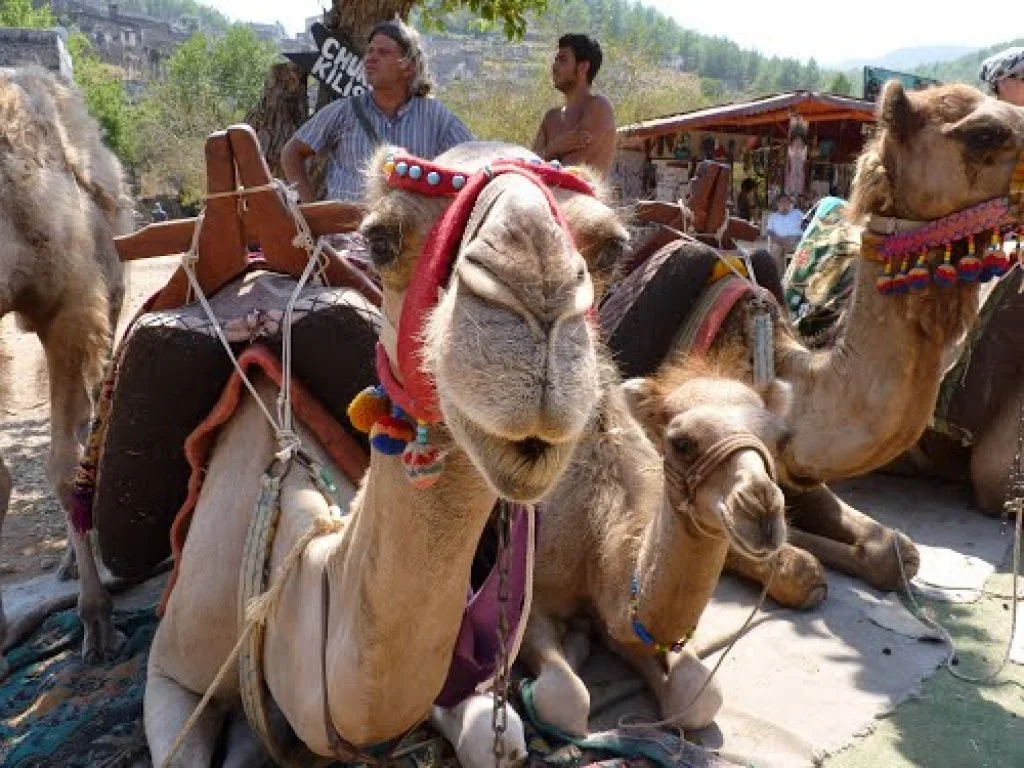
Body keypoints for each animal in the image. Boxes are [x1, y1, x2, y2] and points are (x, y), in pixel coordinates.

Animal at [520, 350, 792, 737]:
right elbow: (565, 699)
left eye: (782, 439)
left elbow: (698, 695)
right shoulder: (533, 598)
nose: (761, 509)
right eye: (681, 443)